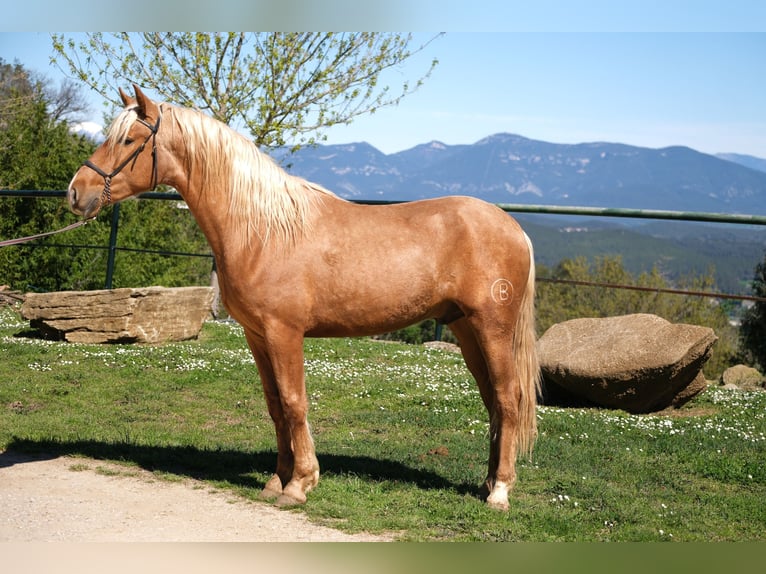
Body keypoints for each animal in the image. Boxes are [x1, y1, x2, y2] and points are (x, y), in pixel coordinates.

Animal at [67, 84, 541, 511]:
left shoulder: (284, 333)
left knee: (507, 398)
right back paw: (487, 483)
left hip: (491, 328)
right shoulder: (257, 336)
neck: (262, 230)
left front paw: (300, 484)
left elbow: (295, 404)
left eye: (129, 140)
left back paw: (499, 493)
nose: (76, 191)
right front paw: (276, 481)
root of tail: (514, 229)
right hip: (465, 329)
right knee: (493, 402)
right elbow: (276, 406)